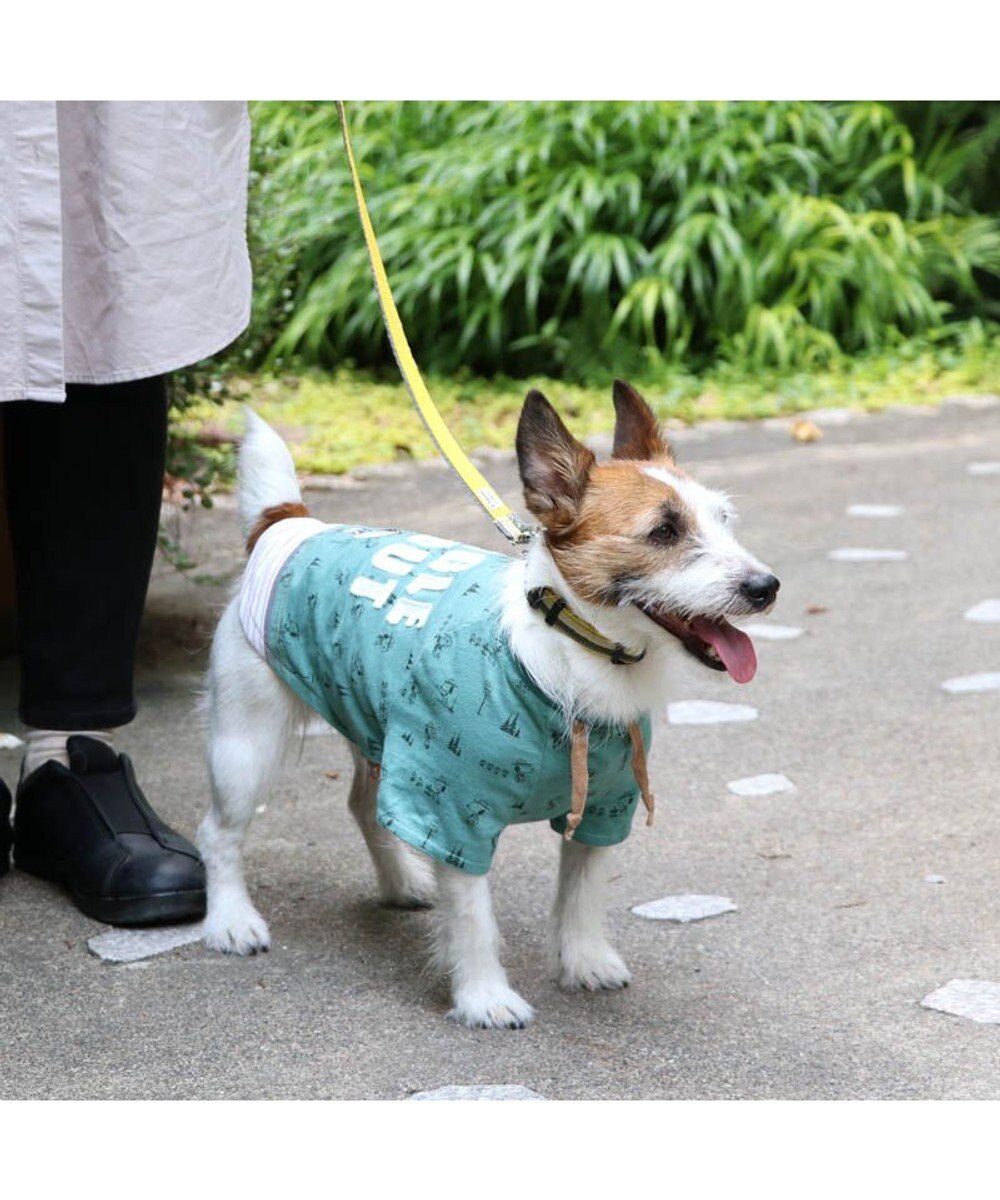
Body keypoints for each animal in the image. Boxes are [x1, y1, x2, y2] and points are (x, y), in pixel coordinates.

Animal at [199, 379, 777, 1027]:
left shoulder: (602, 807)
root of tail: (290, 524)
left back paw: (401, 883)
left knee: (365, 806)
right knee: (218, 833)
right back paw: (231, 921)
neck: (571, 652)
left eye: (724, 520)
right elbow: (474, 918)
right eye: (664, 532)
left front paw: (584, 962)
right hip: (246, 743)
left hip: (379, 727)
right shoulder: (454, 809)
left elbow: (581, 895)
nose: (766, 588)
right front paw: (483, 997)